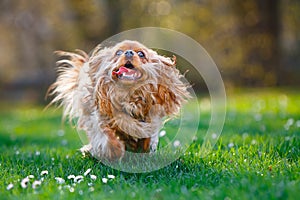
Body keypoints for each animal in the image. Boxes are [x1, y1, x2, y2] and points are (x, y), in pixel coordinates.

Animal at [48, 39, 191, 160]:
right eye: (118, 52)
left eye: (141, 54)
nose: (128, 52)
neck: (128, 96)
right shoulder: (101, 118)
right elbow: (106, 135)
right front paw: (115, 150)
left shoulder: (151, 119)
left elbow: (148, 136)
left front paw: (144, 149)